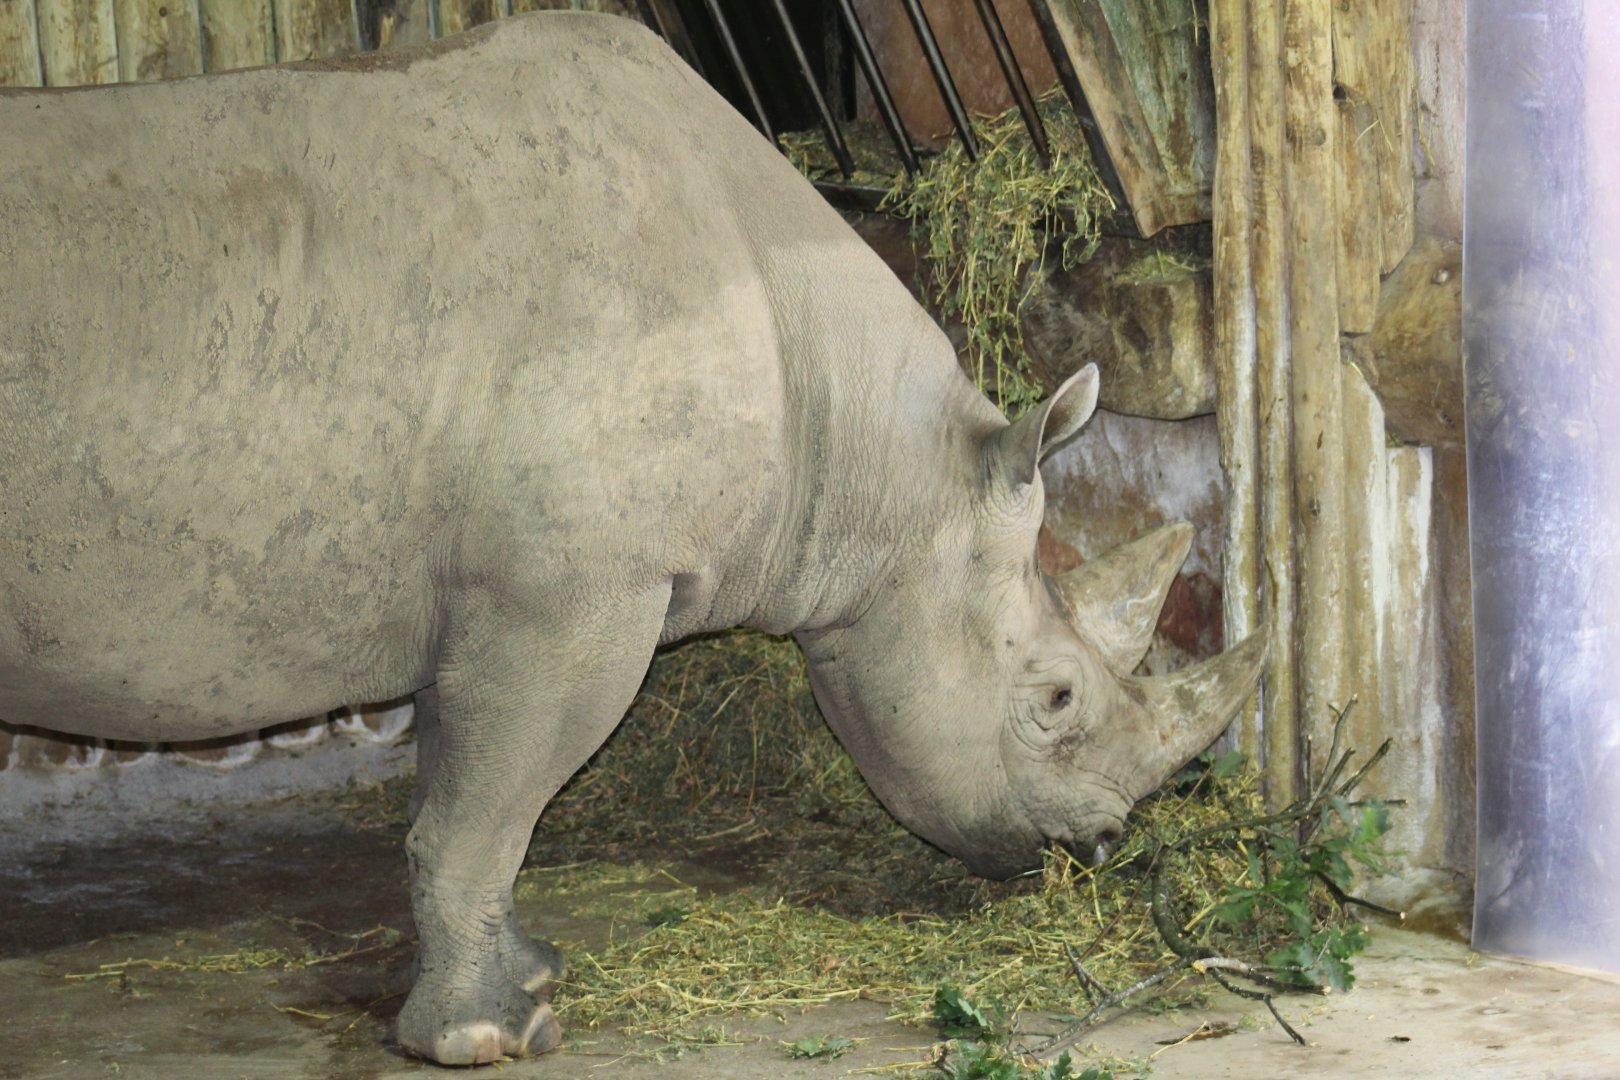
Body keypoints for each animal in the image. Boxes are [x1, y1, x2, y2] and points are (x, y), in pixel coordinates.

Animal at [0, 11, 1264, 1065]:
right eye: (1055, 698)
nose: (1102, 843)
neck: (872, 459)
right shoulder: (566, 597)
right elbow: (486, 814)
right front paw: (487, 1040)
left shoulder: (497, 596)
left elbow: (466, 797)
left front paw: (530, 978)